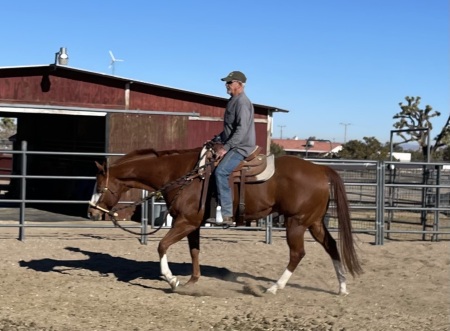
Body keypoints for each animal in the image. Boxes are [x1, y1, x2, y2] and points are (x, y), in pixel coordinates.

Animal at [88, 148, 362, 296]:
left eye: (99, 186)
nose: (91, 213)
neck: (184, 175)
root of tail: (321, 170)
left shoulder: (184, 223)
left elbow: (162, 246)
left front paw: (172, 280)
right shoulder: (192, 225)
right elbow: (194, 251)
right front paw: (192, 281)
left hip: (296, 223)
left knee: (297, 254)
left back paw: (274, 288)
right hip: (313, 222)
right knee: (332, 247)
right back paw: (342, 287)